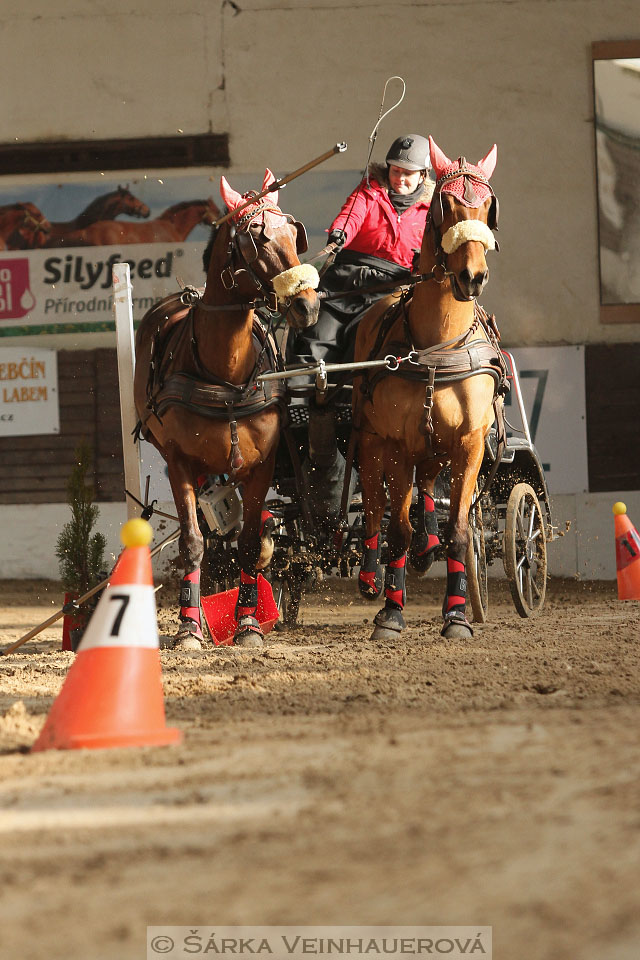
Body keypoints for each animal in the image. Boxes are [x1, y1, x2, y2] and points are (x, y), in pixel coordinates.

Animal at [134, 172, 320, 652]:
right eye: (257, 237)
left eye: (294, 232)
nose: (307, 305)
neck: (226, 373)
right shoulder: (179, 461)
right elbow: (194, 542)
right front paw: (188, 627)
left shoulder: (262, 466)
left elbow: (251, 543)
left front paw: (249, 623)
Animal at [352, 135, 508, 640]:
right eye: (447, 204)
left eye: (488, 206)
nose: (472, 277)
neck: (439, 342)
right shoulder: (398, 444)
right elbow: (394, 527)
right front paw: (391, 611)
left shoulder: (469, 444)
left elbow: (458, 528)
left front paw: (457, 613)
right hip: (371, 440)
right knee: (375, 505)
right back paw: (371, 575)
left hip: (435, 447)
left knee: (426, 490)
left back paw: (427, 544)